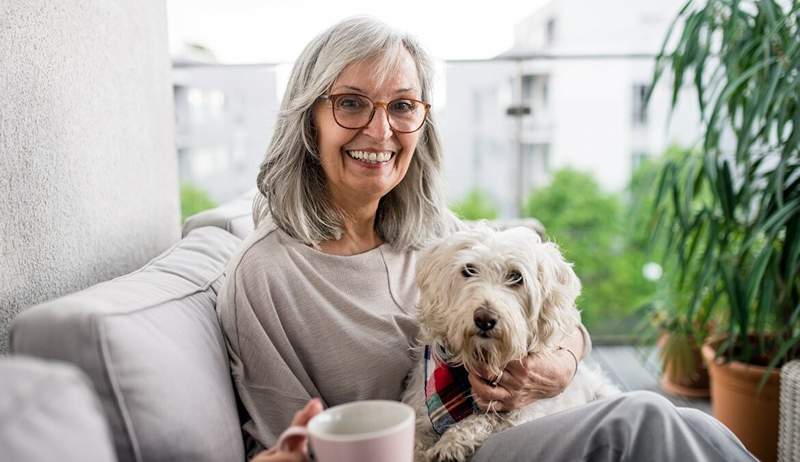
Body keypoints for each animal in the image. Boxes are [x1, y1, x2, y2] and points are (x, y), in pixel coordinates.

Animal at [404, 226, 620, 462]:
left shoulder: (523, 413)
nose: (485, 319)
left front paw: (451, 442)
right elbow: (415, 438)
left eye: (516, 276)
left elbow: (487, 418)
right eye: (469, 270)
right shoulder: (419, 410)